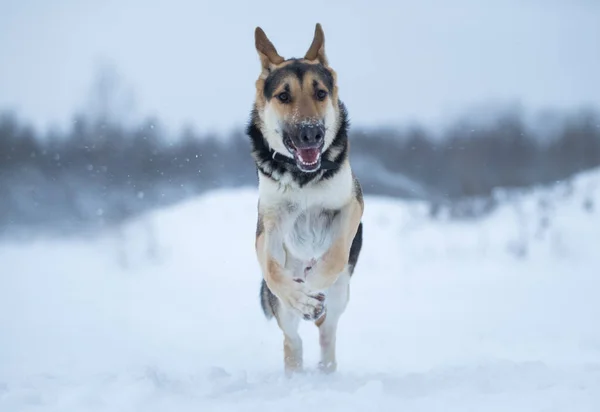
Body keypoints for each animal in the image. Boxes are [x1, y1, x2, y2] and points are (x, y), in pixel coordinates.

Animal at [246, 23, 364, 376]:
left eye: (320, 93)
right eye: (283, 96)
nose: (311, 134)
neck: (303, 179)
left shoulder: (352, 205)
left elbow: (335, 254)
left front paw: (312, 285)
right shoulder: (269, 226)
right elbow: (272, 269)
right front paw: (301, 297)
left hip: (340, 297)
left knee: (327, 335)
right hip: (285, 315)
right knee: (292, 340)